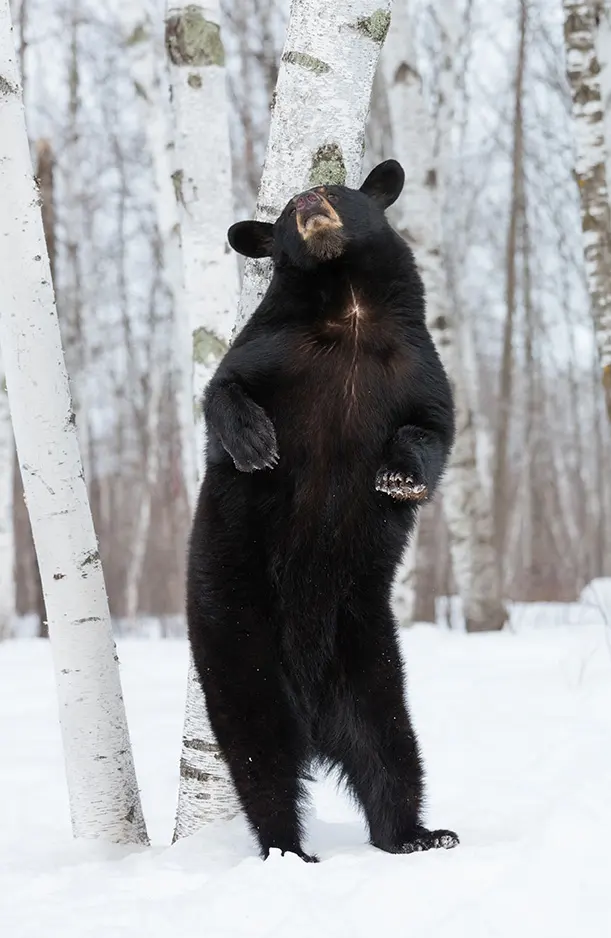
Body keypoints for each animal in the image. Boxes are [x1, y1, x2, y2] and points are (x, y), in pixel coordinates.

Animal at [187, 159, 458, 862]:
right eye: (287, 209)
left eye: (336, 191)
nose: (310, 196)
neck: (349, 308)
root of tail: (313, 714)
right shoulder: (273, 348)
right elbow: (223, 386)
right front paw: (256, 444)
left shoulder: (418, 365)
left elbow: (431, 429)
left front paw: (398, 477)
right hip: (239, 640)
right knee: (261, 757)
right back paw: (289, 849)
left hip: (370, 657)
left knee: (390, 752)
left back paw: (420, 835)